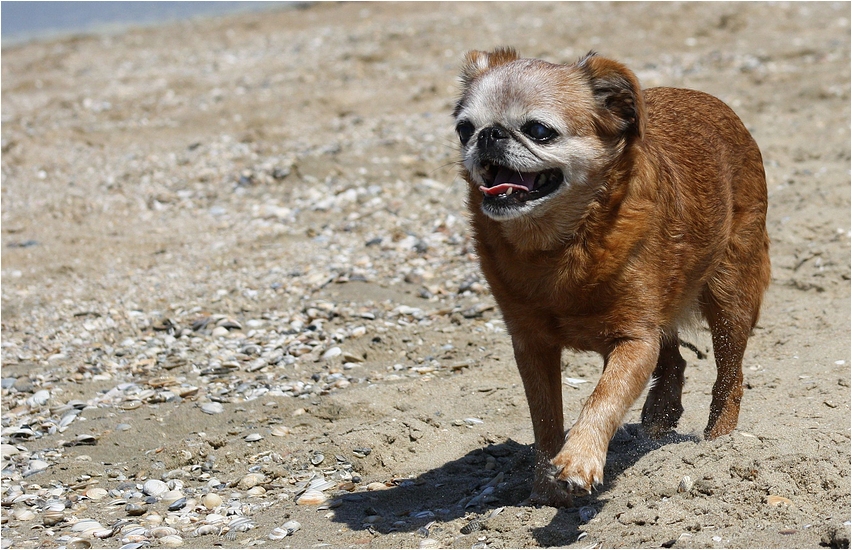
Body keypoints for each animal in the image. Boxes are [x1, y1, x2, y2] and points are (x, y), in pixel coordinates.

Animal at [452, 48, 772, 508]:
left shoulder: (634, 342)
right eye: (464, 129)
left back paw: (719, 443)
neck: (560, 245)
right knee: (673, 359)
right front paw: (545, 488)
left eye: (538, 131)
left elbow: (603, 396)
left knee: (730, 374)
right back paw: (660, 414)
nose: (488, 135)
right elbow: (545, 418)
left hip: (729, 297)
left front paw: (579, 461)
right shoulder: (533, 347)